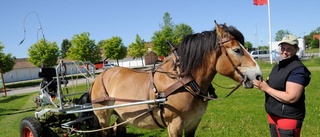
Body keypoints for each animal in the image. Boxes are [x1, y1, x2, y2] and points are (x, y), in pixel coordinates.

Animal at [90, 20, 262, 136]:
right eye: (237, 50)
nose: (258, 75)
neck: (184, 82)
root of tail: (101, 76)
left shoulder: (193, 123)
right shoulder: (174, 125)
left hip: (123, 116)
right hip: (103, 116)